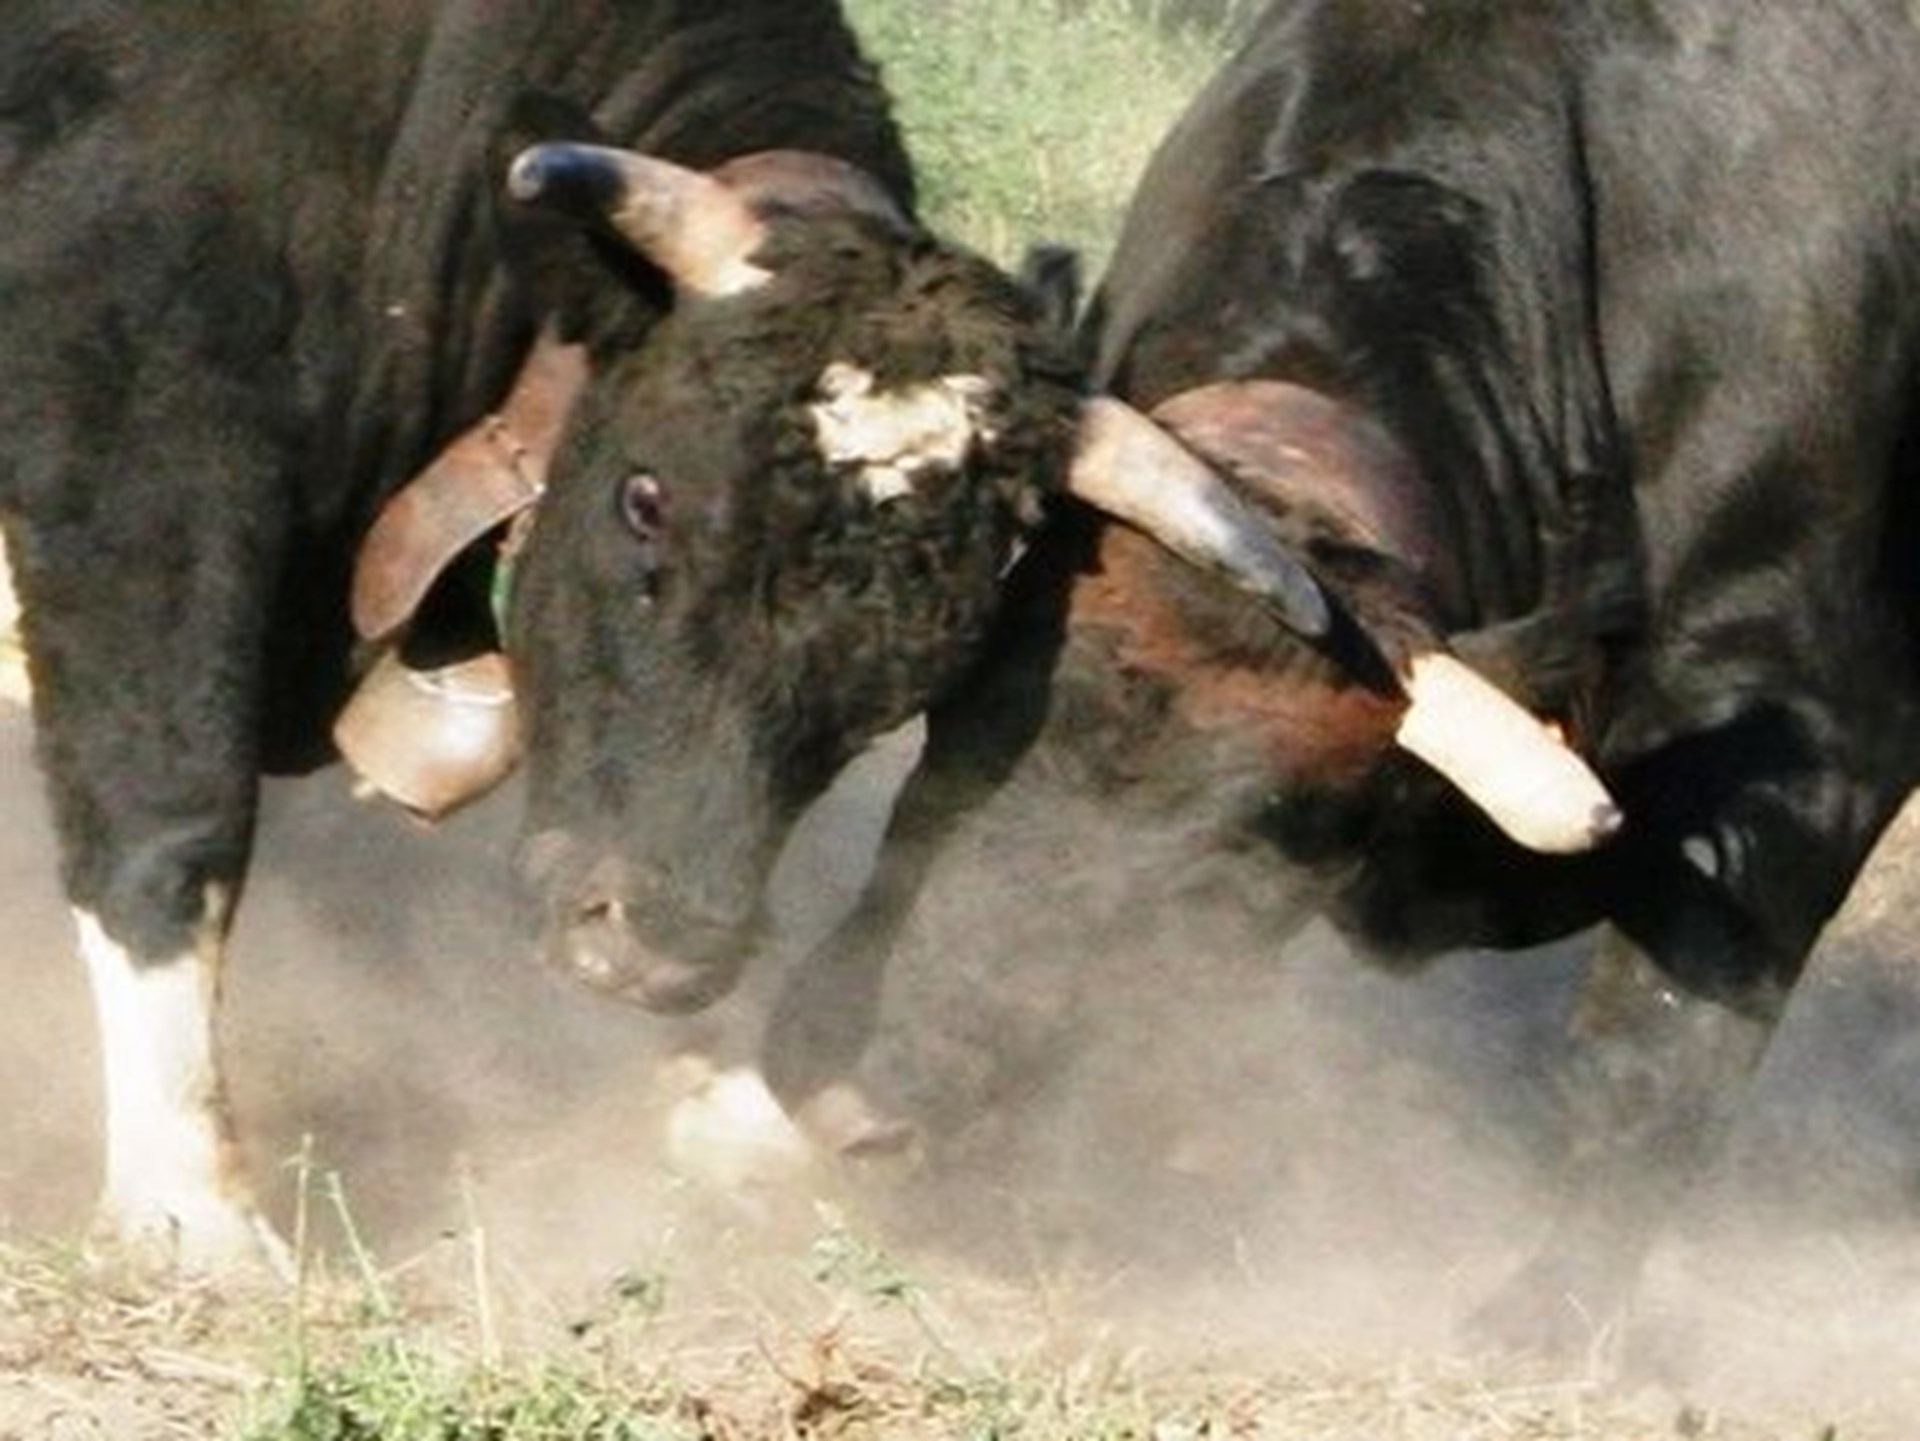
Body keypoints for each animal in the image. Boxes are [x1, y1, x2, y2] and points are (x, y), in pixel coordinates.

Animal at [754, 0, 1920, 1347]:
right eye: (962, 717)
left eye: (1236, 867)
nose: (867, 1089)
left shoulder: (1796, 757)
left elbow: (1652, 1057)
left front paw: (1544, 1315)